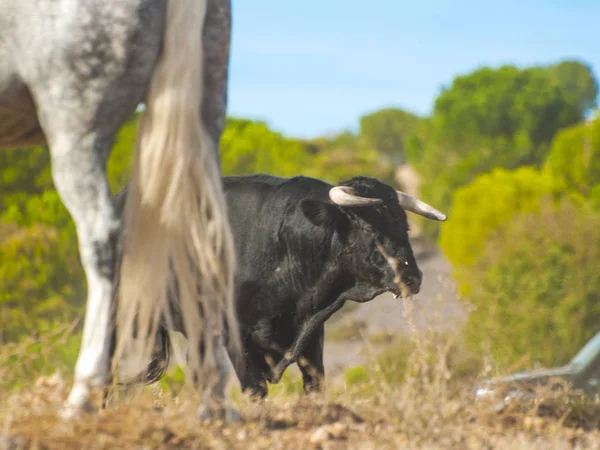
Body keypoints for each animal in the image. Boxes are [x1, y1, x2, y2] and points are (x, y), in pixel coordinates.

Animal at [0, 0, 239, 418]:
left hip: (76, 131)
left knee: (102, 239)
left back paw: (82, 395)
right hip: (206, 114)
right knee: (205, 240)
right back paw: (215, 401)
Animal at [109, 174, 446, 396]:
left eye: (404, 225)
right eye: (368, 227)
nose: (412, 278)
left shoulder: (312, 334)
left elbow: (314, 387)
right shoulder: (237, 338)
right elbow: (254, 390)